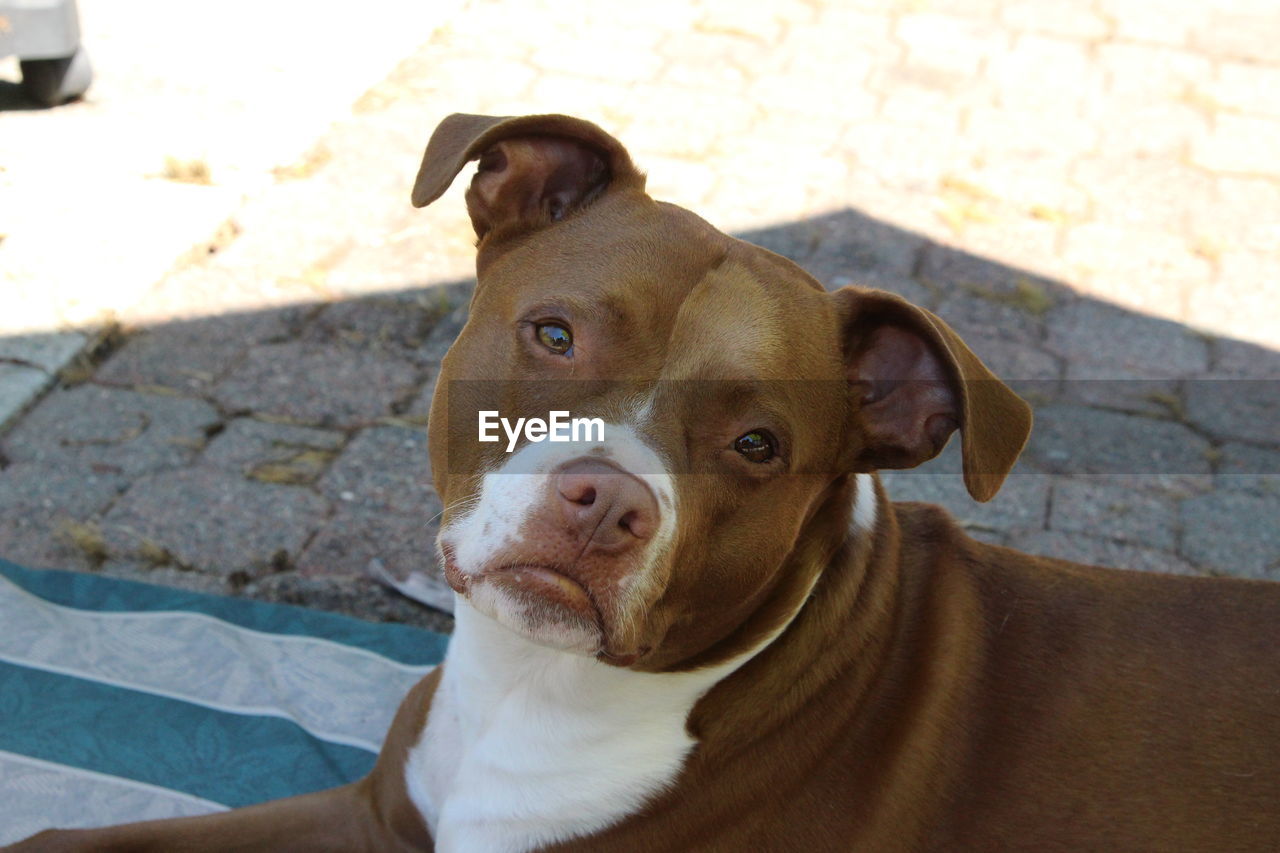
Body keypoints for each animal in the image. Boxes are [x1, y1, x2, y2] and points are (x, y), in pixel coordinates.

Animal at [12, 114, 1280, 850]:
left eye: (757, 444)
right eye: (554, 334)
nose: (608, 505)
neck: (534, 686)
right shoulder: (375, 818)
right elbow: (64, 841)